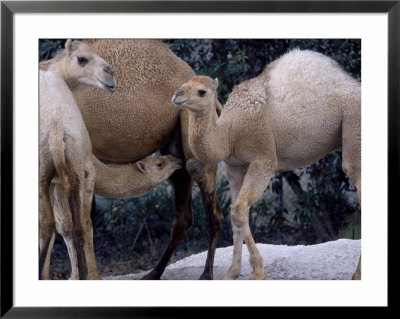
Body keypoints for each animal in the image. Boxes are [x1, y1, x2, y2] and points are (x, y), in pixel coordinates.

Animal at [39, 39, 116, 280]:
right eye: (82, 59)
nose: (110, 74)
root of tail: (56, 132)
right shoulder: (85, 172)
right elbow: (76, 225)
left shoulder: (58, 180)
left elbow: (66, 225)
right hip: (70, 173)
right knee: (73, 226)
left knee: (53, 225)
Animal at [43, 155, 182, 280]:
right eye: (159, 164)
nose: (178, 160)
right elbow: (80, 226)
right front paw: (91, 277)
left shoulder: (57, 183)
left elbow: (61, 227)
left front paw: (74, 276)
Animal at [173, 48, 362, 282]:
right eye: (185, 83)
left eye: (201, 91)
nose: (177, 95)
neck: (229, 132)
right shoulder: (234, 167)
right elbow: (235, 216)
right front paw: (232, 273)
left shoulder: (263, 159)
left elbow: (239, 209)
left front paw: (257, 271)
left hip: (354, 123)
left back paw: (356, 275)